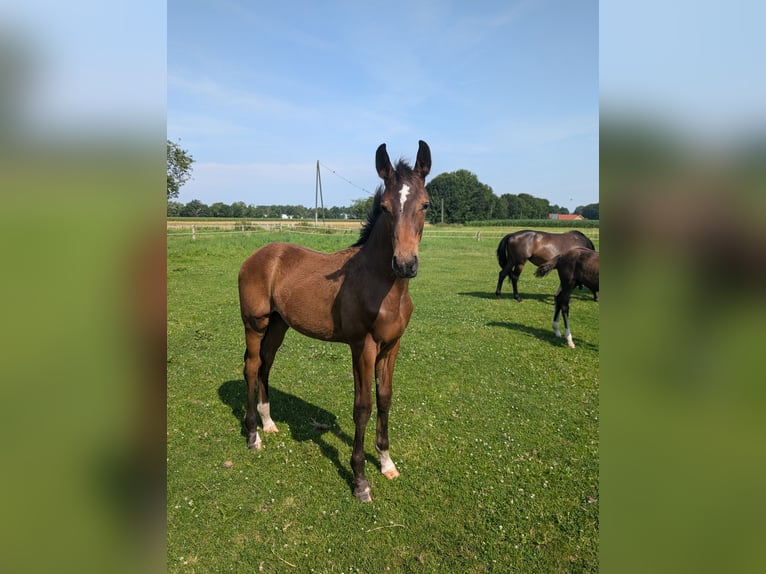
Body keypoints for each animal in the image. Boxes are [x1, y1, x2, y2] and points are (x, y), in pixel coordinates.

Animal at [240, 141, 432, 504]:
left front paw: (386, 462)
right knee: (252, 366)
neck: (383, 286)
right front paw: (360, 481)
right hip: (255, 324)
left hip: (279, 324)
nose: (405, 264)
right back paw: (253, 436)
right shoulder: (363, 346)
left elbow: (385, 399)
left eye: (425, 204)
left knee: (266, 364)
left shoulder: (392, 347)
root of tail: (257, 256)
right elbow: (363, 406)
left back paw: (269, 423)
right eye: (384, 207)